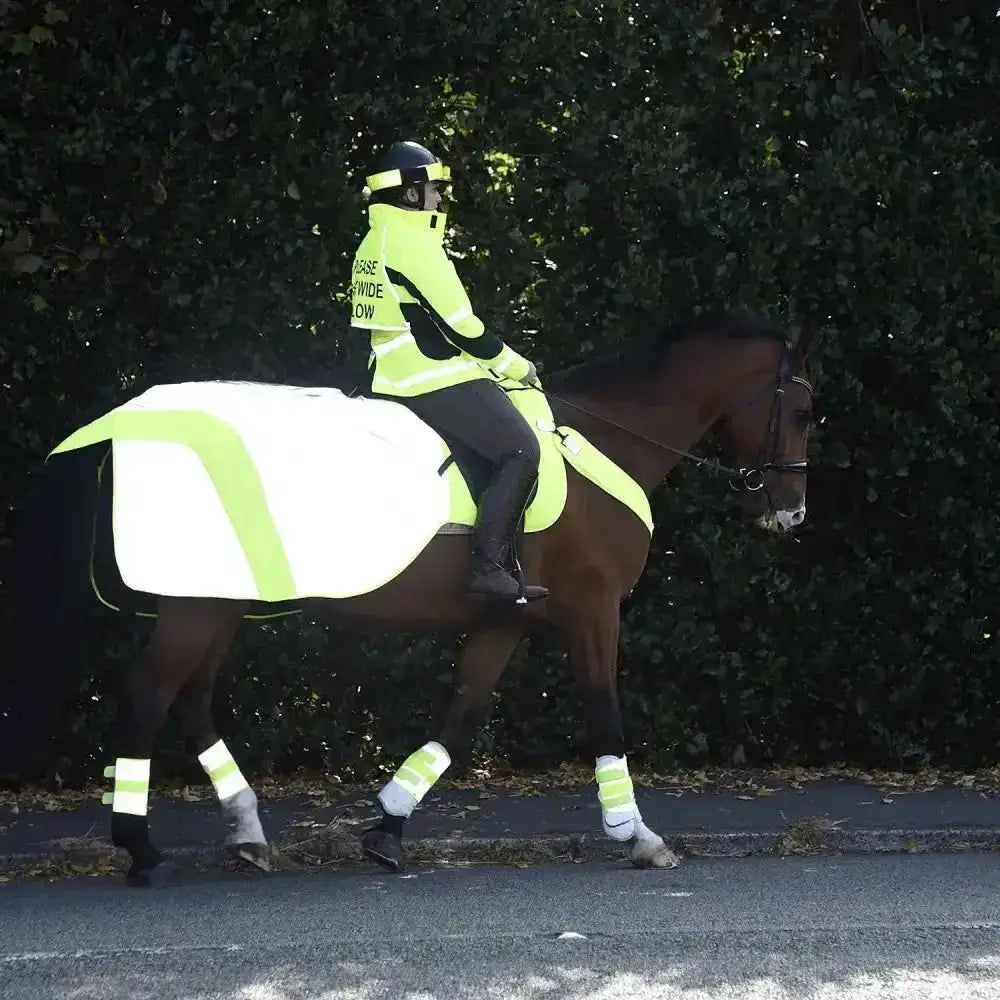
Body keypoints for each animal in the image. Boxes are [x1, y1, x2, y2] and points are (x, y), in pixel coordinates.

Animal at [5, 311, 815, 887]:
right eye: (805, 412)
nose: (791, 513)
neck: (603, 440)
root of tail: (128, 424)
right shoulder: (593, 610)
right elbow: (604, 715)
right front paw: (639, 837)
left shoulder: (506, 619)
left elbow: (459, 719)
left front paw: (386, 829)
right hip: (194, 604)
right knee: (150, 696)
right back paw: (141, 850)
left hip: (217, 601)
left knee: (191, 701)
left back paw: (247, 834)